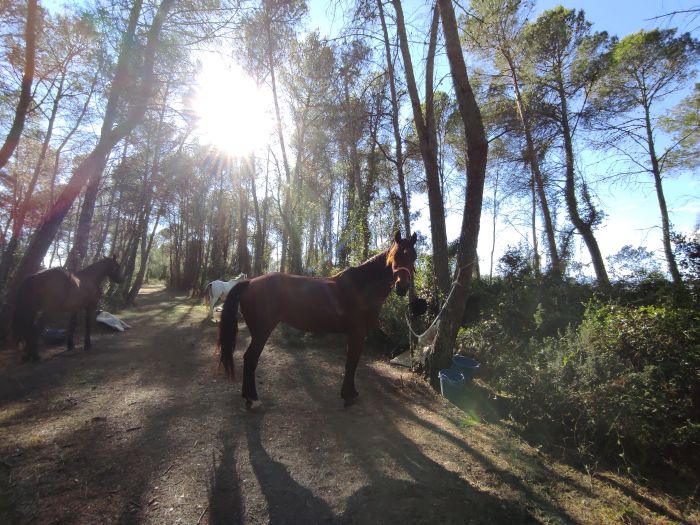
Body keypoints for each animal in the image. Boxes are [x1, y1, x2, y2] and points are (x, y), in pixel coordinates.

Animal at [217, 231, 416, 408]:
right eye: (396, 255)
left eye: (413, 257)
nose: (402, 286)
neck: (361, 287)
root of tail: (249, 283)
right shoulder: (357, 333)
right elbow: (352, 363)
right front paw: (349, 395)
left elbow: (351, 363)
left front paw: (348, 393)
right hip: (262, 331)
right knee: (250, 358)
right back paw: (252, 398)